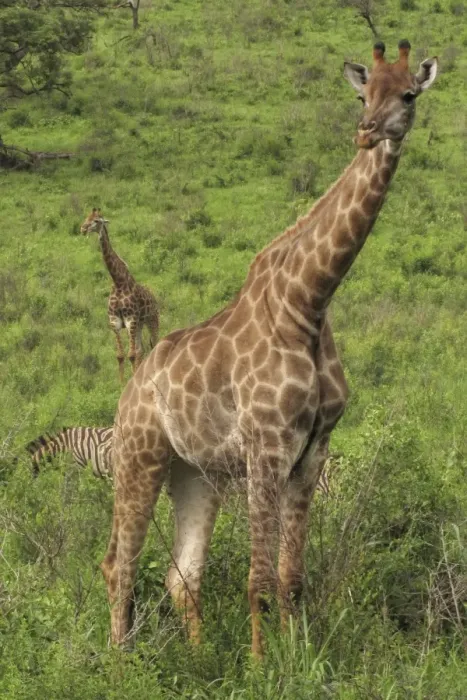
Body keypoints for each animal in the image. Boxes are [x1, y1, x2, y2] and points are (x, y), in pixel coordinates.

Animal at [80, 209, 159, 384]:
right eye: (86, 217)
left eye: (97, 221)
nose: (82, 229)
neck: (118, 282)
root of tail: (154, 297)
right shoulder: (115, 322)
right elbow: (121, 355)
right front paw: (122, 383)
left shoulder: (131, 320)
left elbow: (131, 355)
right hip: (140, 324)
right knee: (141, 350)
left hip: (151, 320)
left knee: (154, 344)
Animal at [101, 42, 437, 657]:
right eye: (362, 95)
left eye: (408, 94)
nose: (367, 132)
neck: (309, 302)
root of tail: (131, 388)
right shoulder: (266, 446)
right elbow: (258, 579)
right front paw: (261, 666)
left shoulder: (311, 452)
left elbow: (291, 576)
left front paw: (297, 657)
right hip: (139, 457)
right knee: (120, 565)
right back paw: (121, 665)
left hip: (195, 474)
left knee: (181, 574)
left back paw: (201, 662)